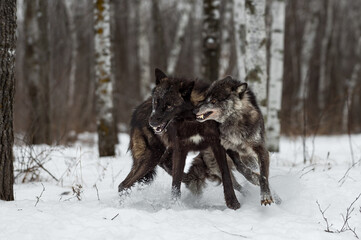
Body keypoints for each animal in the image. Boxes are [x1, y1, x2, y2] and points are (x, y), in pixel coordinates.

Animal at [118, 68, 240, 209]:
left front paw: (233, 203)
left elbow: (226, 174)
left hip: (160, 153)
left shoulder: (217, 146)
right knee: (123, 185)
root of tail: (136, 112)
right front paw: (175, 206)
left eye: (169, 106)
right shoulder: (180, 149)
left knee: (161, 165)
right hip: (152, 156)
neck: (192, 120)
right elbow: (175, 184)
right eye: (156, 102)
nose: (151, 123)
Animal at [194, 76, 272, 205]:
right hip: (217, 167)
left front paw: (265, 196)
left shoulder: (261, 149)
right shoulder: (229, 149)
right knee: (236, 185)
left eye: (213, 101)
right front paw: (254, 178)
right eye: (205, 98)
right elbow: (242, 169)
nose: (194, 110)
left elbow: (263, 177)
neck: (233, 123)